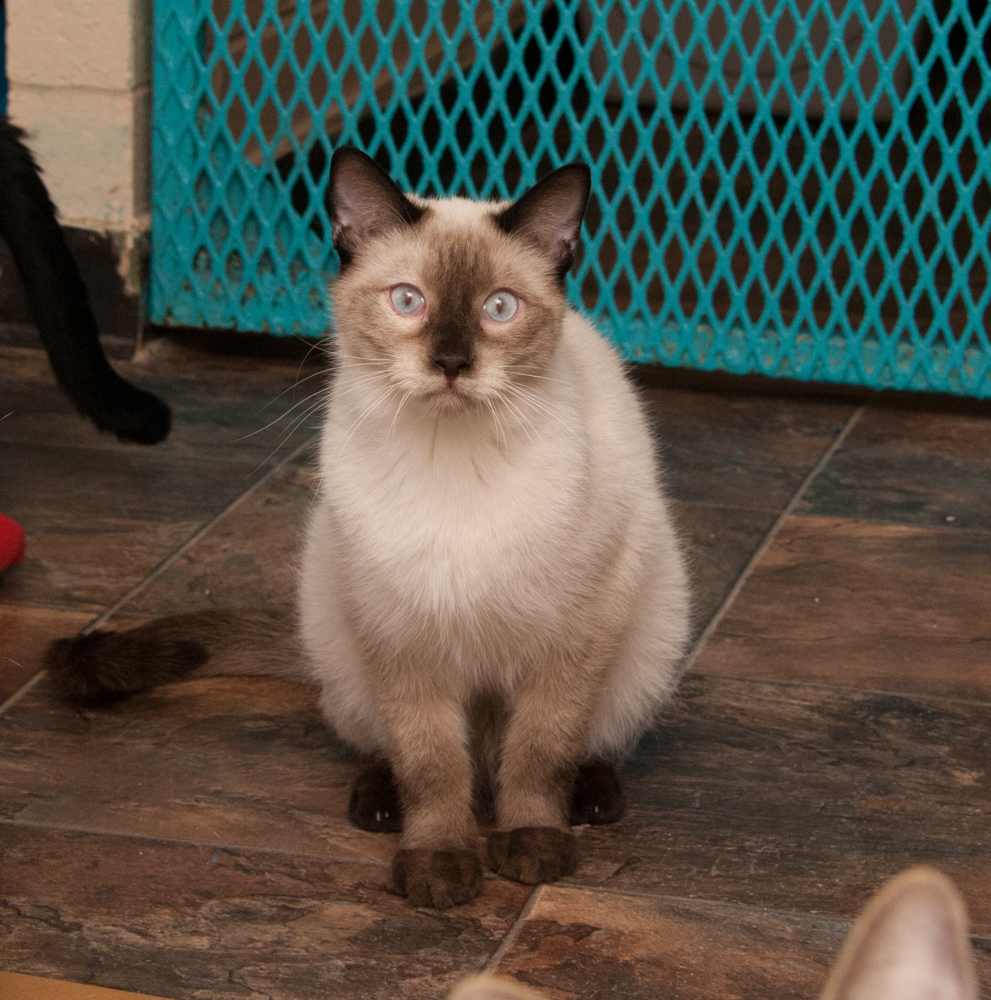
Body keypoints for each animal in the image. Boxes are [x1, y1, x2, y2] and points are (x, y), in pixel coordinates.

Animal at [44, 146, 688, 908]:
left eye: (498, 309)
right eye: (407, 301)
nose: (451, 363)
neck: (451, 470)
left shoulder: (571, 636)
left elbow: (538, 753)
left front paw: (531, 845)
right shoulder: (400, 635)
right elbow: (432, 765)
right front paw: (437, 866)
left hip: (647, 637)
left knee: (568, 748)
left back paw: (588, 801)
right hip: (339, 625)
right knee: (406, 751)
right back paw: (380, 806)